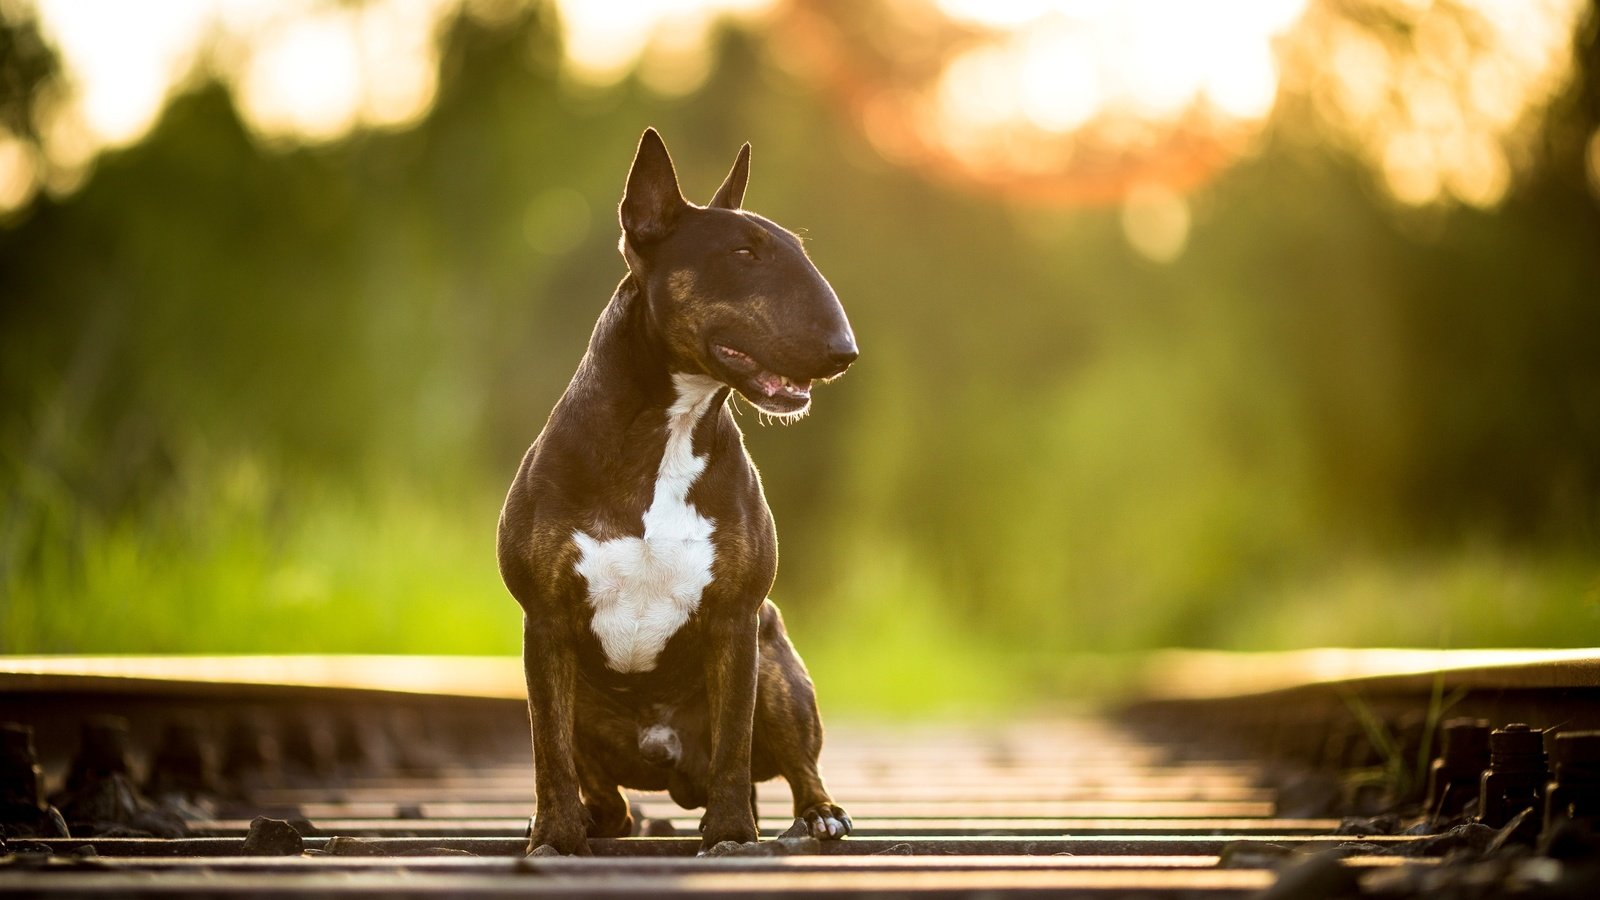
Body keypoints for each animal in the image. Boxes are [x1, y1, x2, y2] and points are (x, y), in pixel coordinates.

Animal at [496, 124, 857, 845]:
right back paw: (591, 819)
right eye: (743, 253)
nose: (844, 351)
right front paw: (555, 836)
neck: (666, 431)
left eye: (797, 253)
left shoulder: (737, 620)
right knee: (600, 787)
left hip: (778, 667)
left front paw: (732, 833)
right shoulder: (543, 623)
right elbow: (548, 745)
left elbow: (733, 739)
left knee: (792, 762)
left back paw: (816, 815)